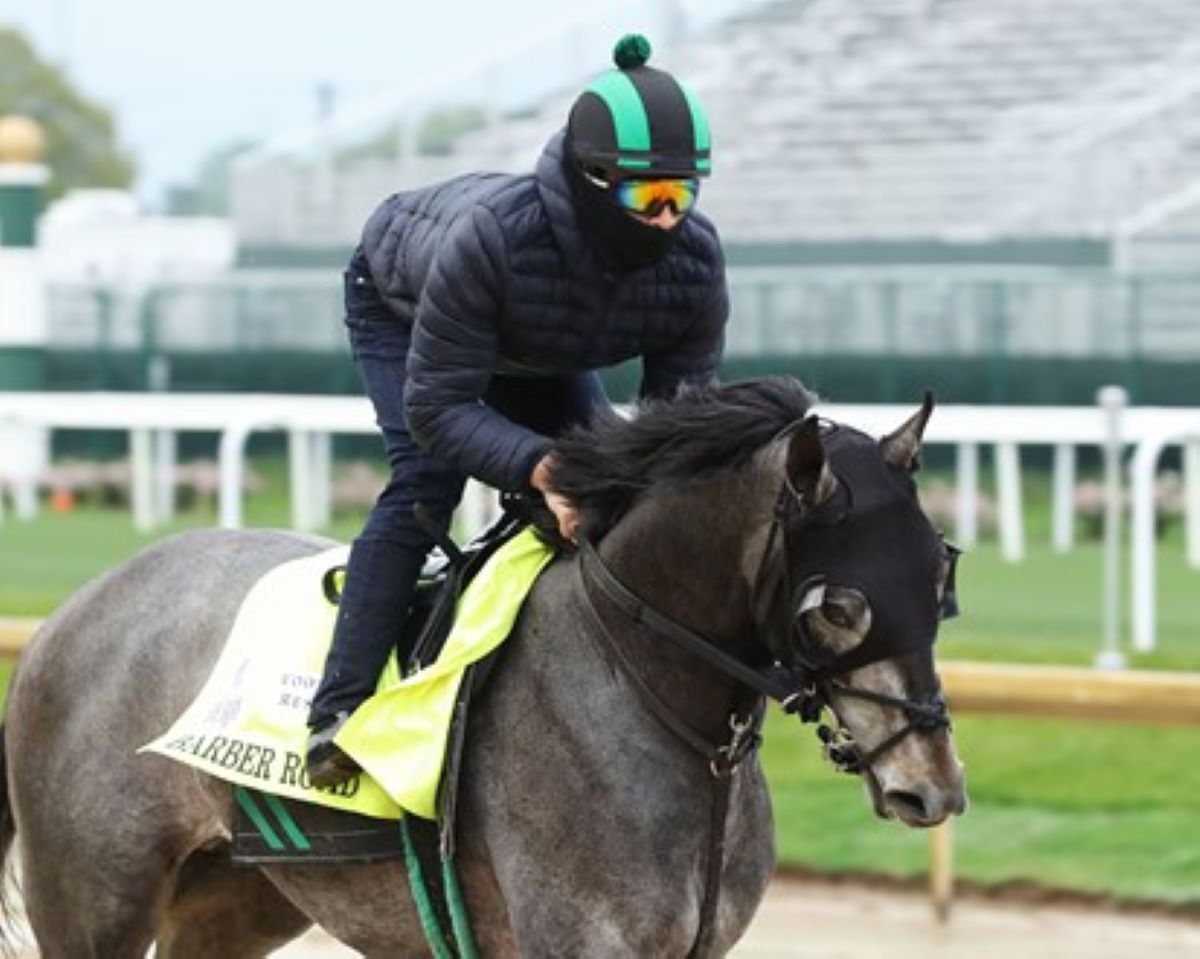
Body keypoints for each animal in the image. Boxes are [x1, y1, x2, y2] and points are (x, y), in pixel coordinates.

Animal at [0, 381, 964, 959]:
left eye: (939, 572)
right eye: (839, 607)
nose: (933, 787)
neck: (639, 682)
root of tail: (65, 619)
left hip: (238, 895)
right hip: (92, 895)